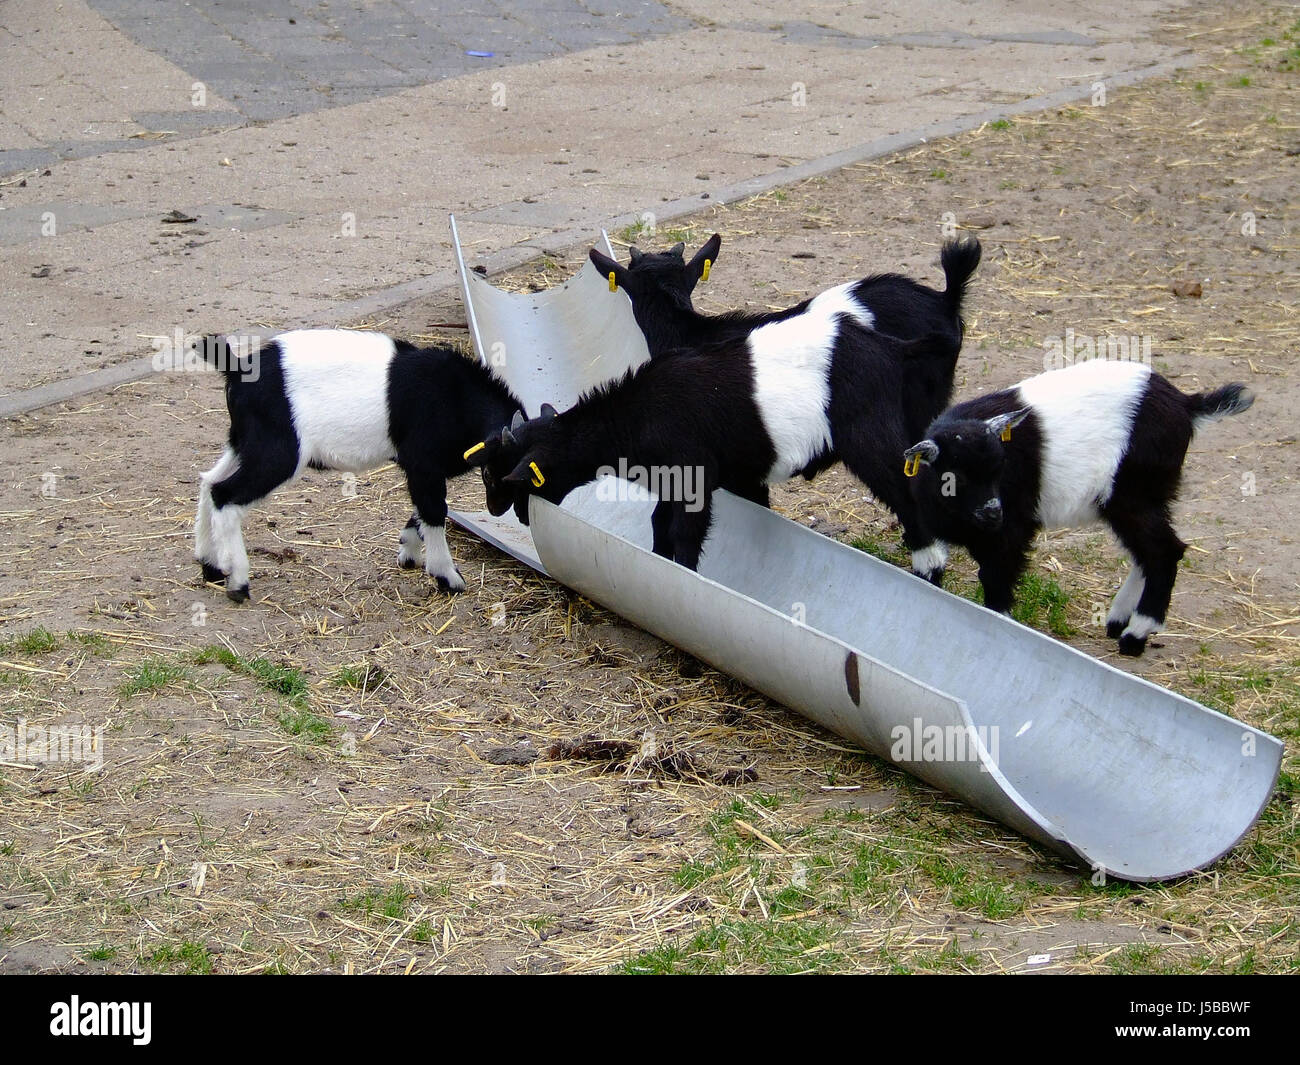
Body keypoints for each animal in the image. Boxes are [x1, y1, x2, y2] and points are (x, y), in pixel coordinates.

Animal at [195, 328, 520, 600]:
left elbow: (424, 509)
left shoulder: (423, 469)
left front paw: (408, 552)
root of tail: (237, 370)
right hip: (277, 452)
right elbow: (433, 510)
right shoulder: (422, 462)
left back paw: (210, 567)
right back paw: (238, 583)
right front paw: (447, 577)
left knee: (209, 483)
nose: (498, 510)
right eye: (492, 473)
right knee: (225, 495)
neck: (456, 396)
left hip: (243, 443)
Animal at [462, 287, 961, 574]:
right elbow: (658, 524)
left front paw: (685, 577)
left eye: (505, 477)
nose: (497, 510)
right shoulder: (670, 479)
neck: (636, 414)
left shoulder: (692, 475)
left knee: (907, 491)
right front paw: (658, 565)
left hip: (870, 437)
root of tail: (893, 349)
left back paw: (930, 567)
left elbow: (685, 532)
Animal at [899, 361, 1253, 652]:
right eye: (953, 476)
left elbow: (995, 578)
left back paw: (1136, 634)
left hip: (1133, 491)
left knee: (1165, 551)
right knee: (1146, 552)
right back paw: (1118, 620)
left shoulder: (1012, 528)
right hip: (1140, 496)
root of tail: (1186, 405)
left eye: (1001, 468)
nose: (993, 513)